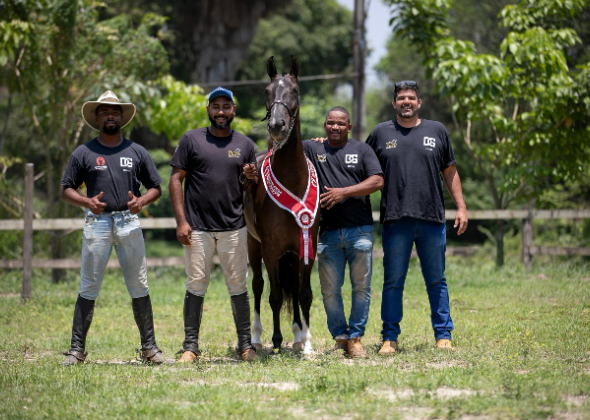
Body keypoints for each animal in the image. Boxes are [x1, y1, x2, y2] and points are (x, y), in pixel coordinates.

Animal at [244, 56, 322, 354]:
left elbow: (304, 294)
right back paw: (256, 338)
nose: (277, 125)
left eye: (295, 91)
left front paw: (307, 343)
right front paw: (276, 341)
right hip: (253, 247)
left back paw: (298, 336)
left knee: (294, 286)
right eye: (267, 91)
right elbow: (274, 296)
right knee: (257, 286)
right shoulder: (270, 250)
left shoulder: (306, 247)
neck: (292, 181)